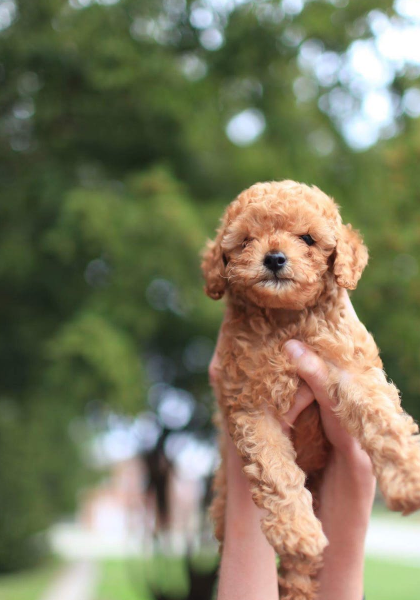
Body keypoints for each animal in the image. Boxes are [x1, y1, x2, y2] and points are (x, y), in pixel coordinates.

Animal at [202, 180, 420, 600]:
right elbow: (275, 470)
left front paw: (409, 477)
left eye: (307, 238)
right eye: (246, 240)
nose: (274, 258)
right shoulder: (249, 405)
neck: (285, 319)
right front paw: (297, 531)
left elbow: (384, 421)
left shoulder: (352, 367)